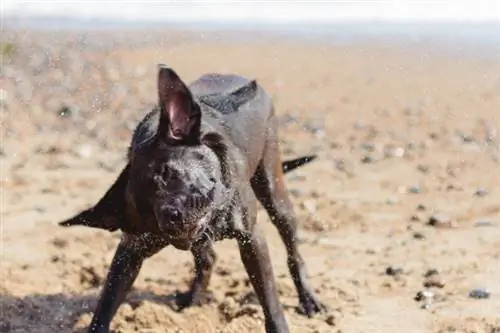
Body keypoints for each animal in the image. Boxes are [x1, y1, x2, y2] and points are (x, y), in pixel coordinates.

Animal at [59, 65, 324, 332]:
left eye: (166, 173)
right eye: (145, 212)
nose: (170, 217)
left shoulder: (252, 239)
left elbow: (270, 301)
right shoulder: (131, 250)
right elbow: (106, 303)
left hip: (273, 190)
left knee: (293, 251)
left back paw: (308, 298)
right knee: (208, 258)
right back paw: (193, 298)